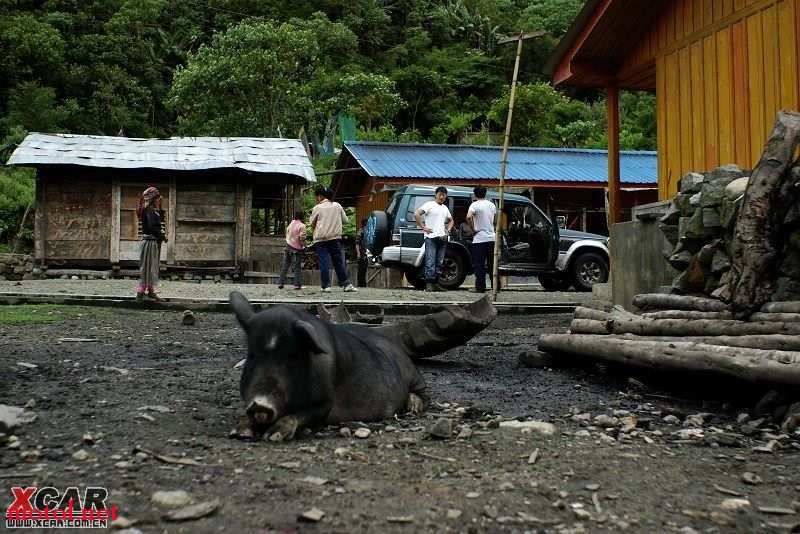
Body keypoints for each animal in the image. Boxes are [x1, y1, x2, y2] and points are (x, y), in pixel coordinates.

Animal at [228, 294, 428, 444]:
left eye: (292, 357)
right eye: (252, 356)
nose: (260, 404)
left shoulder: (326, 402)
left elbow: (302, 414)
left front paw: (273, 436)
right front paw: (238, 432)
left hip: (414, 375)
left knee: (422, 394)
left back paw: (413, 408)